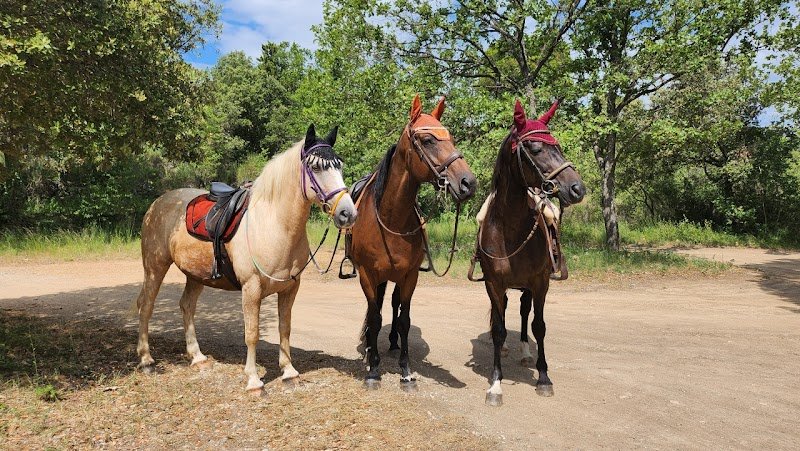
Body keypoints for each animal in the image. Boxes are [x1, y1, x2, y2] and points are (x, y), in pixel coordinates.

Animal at [134, 124, 357, 393]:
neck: (274, 224)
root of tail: (158, 203)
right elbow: (252, 333)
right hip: (155, 266)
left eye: (339, 165)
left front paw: (289, 372)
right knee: (146, 305)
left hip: (195, 275)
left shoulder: (290, 288)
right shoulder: (251, 289)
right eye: (315, 168)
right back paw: (146, 359)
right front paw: (253, 381)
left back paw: (197, 357)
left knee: (187, 306)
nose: (348, 213)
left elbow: (285, 327)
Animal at [348, 94, 477, 390]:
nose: (468, 183)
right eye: (428, 140)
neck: (391, 220)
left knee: (393, 305)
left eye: (452, 138)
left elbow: (405, 319)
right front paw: (373, 369)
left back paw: (392, 343)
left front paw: (406, 371)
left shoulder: (409, 276)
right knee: (376, 309)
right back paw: (371, 349)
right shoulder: (367, 274)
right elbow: (374, 316)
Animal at [475, 99, 585, 406]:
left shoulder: (540, 283)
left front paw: (544, 378)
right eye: (535, 149)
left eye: (557, 146)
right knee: (505, 313)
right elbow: (498, 329)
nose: (577, 188)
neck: (510, 229)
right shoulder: (493, 283)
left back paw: (525, 353)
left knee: (524, 313)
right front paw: (495, 384)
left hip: (528, 286)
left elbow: (539, 326)